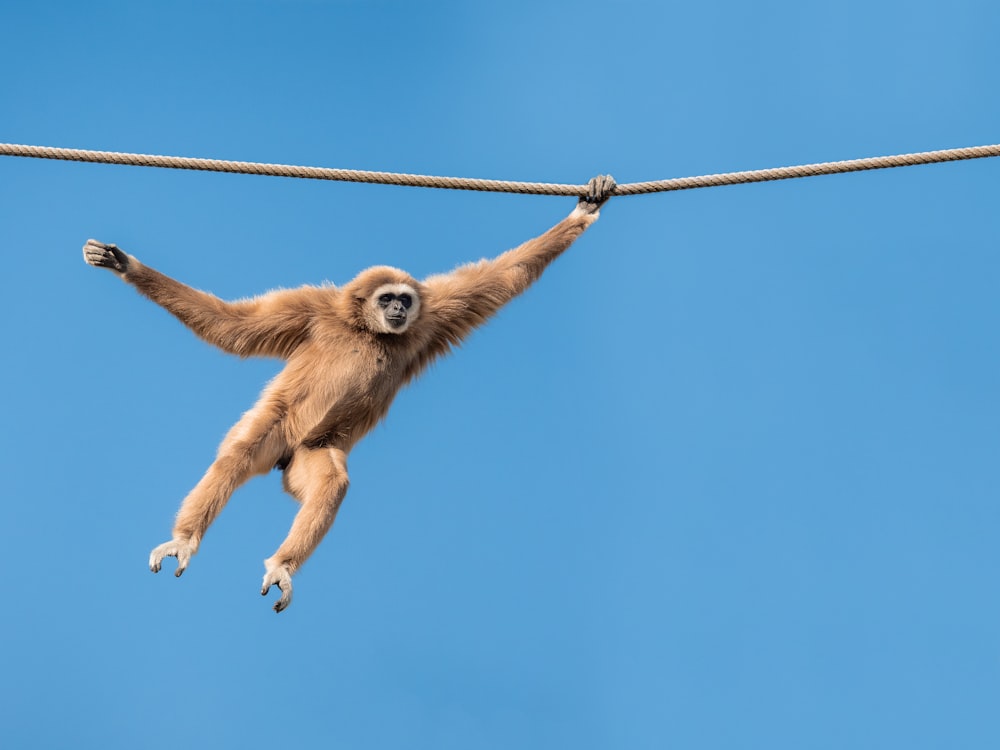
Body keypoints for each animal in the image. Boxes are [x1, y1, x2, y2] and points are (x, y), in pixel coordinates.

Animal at [84, 173, 616, 612]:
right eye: (388, 299)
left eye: (405, 300)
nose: (399, 310)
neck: (368, 331)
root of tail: (286, 454)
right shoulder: (311, 310)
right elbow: (233, 326)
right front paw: (126, 266)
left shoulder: (430, 320)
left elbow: (503, 277)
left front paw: (585, 208)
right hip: (279, 427)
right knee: (238, 455)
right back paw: (186, 539)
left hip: (309, 452)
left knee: (331, 482)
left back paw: (281, 565)